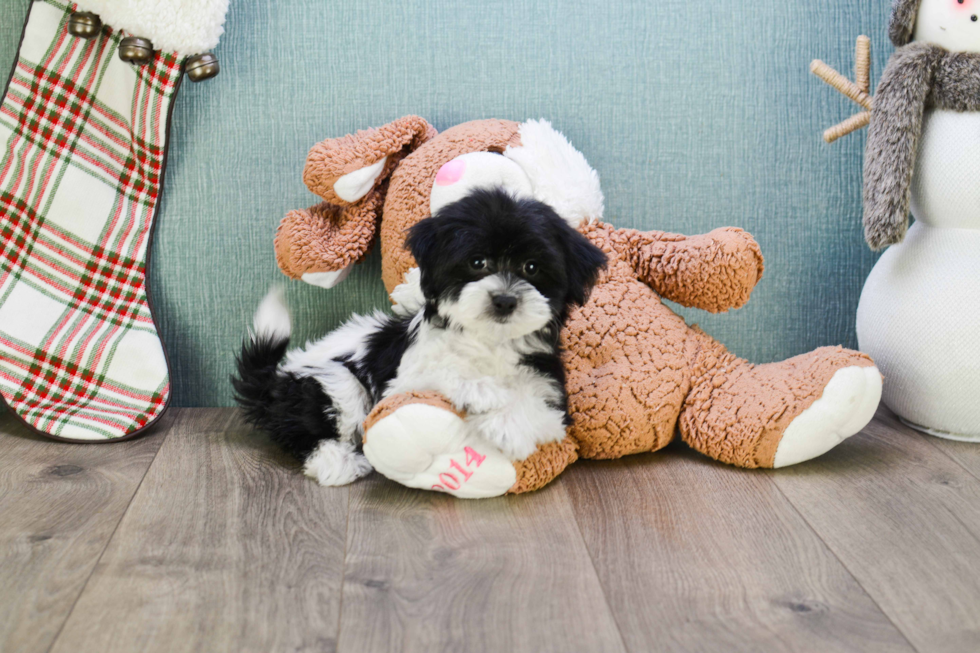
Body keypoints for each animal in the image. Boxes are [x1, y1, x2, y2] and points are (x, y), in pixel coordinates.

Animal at [234, 187, 608, 484]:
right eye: (477, 262)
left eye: (532, 267)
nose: (504, 300)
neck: (488, 341)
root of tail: (274, 381)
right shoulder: (401, 382)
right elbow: (439, 372)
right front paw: (483, 392)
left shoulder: (552, 393)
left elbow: (541, 409)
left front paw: (507, 425)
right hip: (332, 382)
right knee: (312, 431)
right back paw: (339, 464)